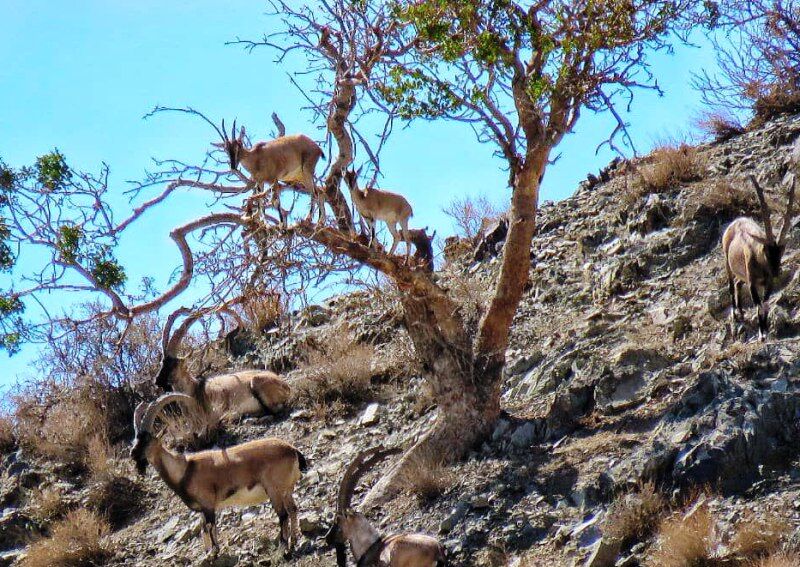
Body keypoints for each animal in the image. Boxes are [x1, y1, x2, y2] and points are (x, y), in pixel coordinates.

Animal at [131, 392, 306, 556]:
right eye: (135, 439)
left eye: (147, 440)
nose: (133, 454)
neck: (185, 469)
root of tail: (292, 450)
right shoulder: (203, 509)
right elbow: (204, 529)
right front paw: (208, 552)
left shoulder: (208, 505)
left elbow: (210, 527)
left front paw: (214, 553)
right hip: (286, 490)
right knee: (293, 510)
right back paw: (293, 542)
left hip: (274, 490)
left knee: (283, 515)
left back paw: (282, 548)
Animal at [154, 310, 290, 418]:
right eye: (162, 362)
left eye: (173, 364)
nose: (157, 381)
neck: (196, 390)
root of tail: (285, 385)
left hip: (256, 382)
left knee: (275, 409)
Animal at [724, 175, 792, 340]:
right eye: (765, 251)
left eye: (781, 251)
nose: (776, 272)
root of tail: (736, 221)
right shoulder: (753, 283)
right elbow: (758, 305)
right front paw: (761, 334)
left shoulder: (768, 283)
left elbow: (765, 304)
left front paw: (765, 330)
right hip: (727, 264)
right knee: (731, 285)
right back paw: (735, 314)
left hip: (743, 275)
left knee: (738, 283)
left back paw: (741, 313)